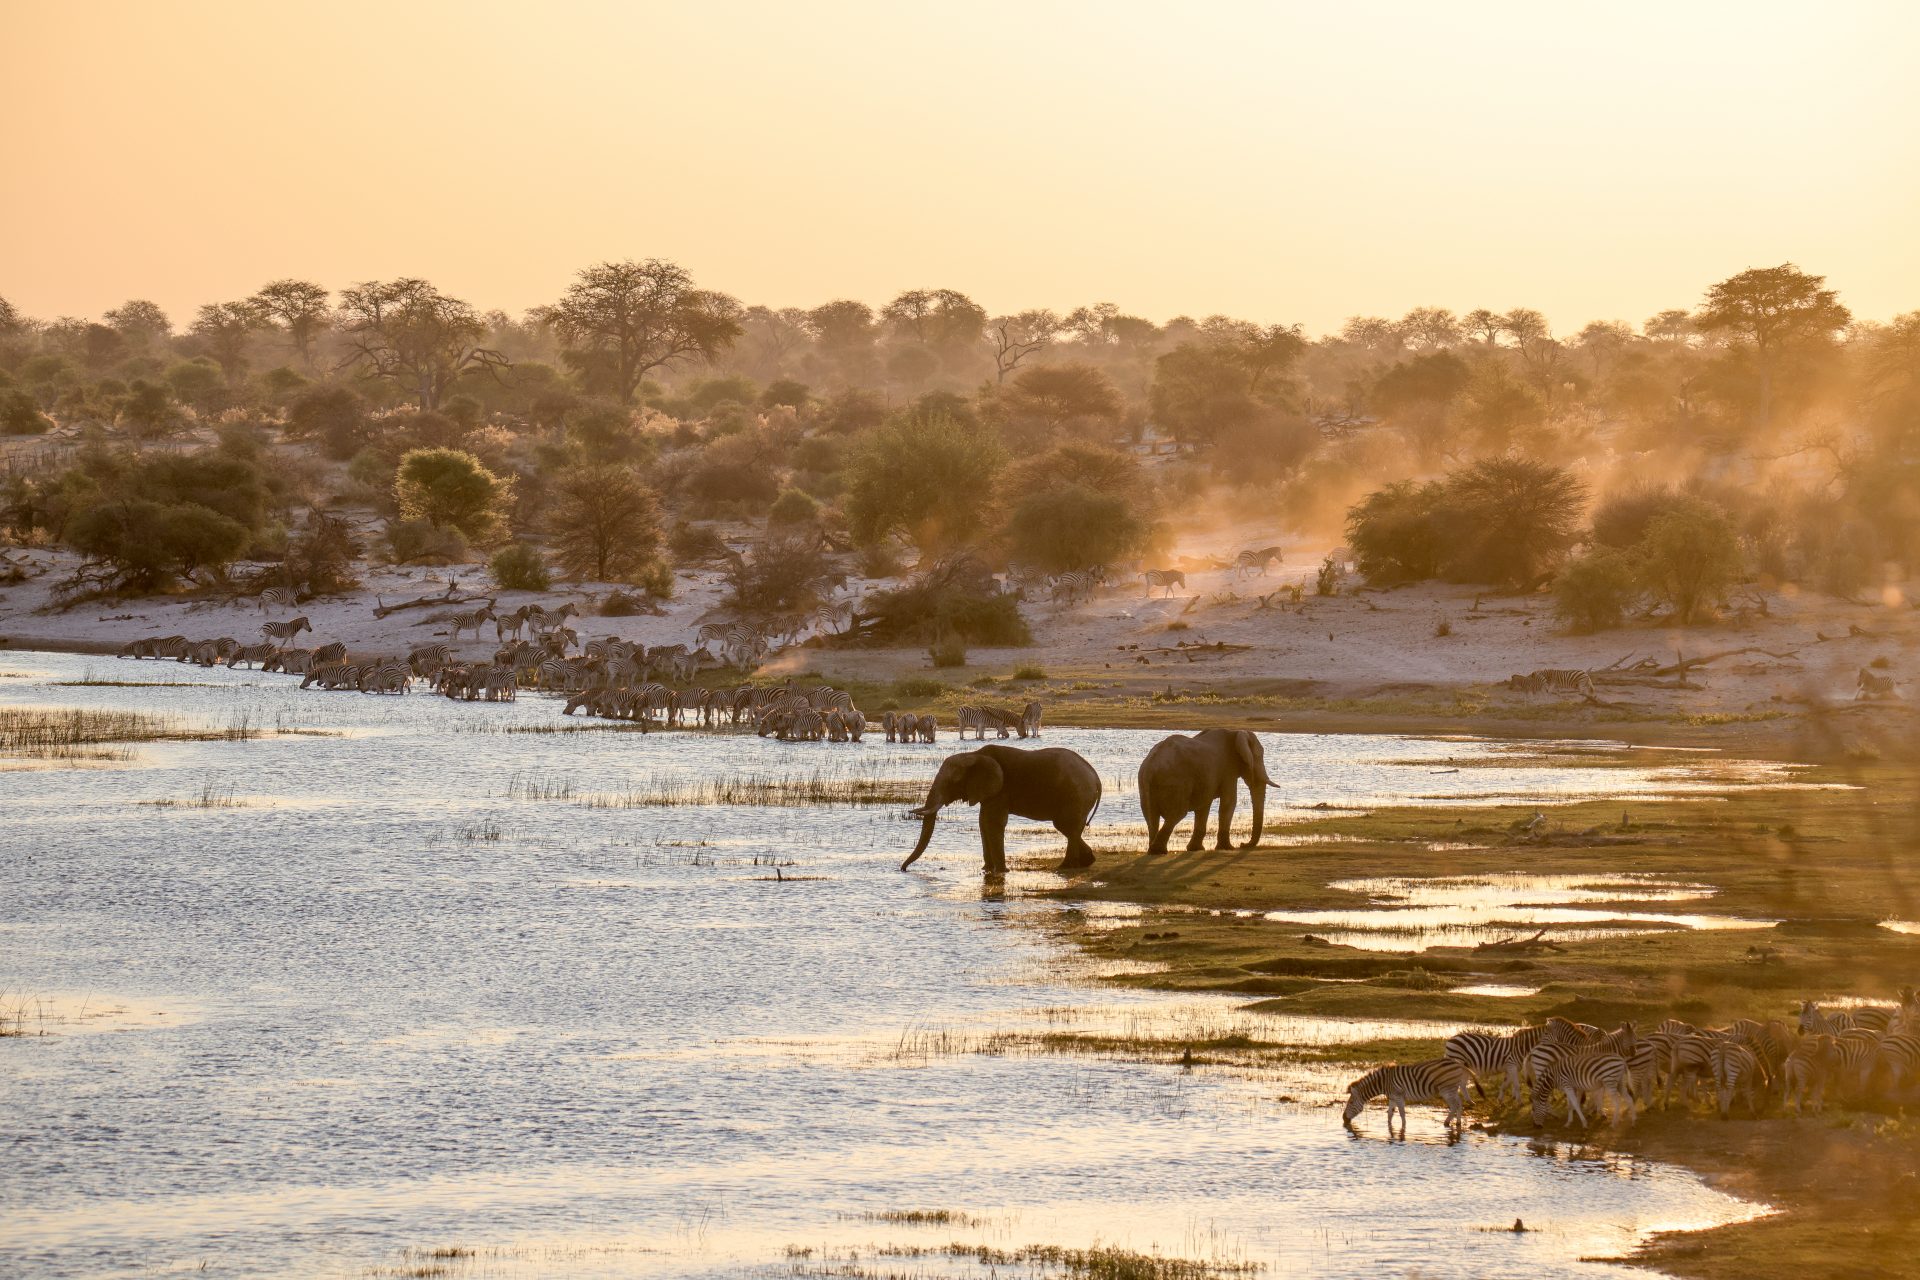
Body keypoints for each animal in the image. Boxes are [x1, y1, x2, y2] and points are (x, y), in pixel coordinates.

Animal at [902, 740, 1105, 882]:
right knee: (1070, 828)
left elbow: (992, 822)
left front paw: (1001, 871)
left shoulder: (1000, 789)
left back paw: (1064, 868)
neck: (973, 755)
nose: (903, 869)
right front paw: (986, 870)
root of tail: (1096, 777)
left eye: (952, 782)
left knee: (1066, 826)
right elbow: (983, 822)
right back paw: (1086, 861)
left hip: (1076, 795)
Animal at [1136, 725, 1274, 855]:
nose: (1242, 844)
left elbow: (1204, 805)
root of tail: (1151, 766)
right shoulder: (1228, 770)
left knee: (1151, 816)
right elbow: (1229, 802)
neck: (1235, 732)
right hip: (1177, 782)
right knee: (1177, 813)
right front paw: (1228, 848)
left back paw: (1154, 850)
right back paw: (1158, 851)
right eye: (1258, 756)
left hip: (1145, 785)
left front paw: (1196, 849)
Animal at [1344, 1059, 1474, 1128]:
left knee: (1454, 1105)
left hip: (1446, 1090)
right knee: (1459, 1103)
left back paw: (1446, 1123)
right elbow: (1390, 1114)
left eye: (1350, 1102)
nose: (1343, 1118)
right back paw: (1458, 1123)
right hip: (1453, 1089)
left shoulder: (1398, 1096)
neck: (1384, 1082)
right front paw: (1389, 1126)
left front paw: (1404, 1127)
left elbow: (1402, 1113)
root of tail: (1457, 1063)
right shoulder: (1392, 1098)